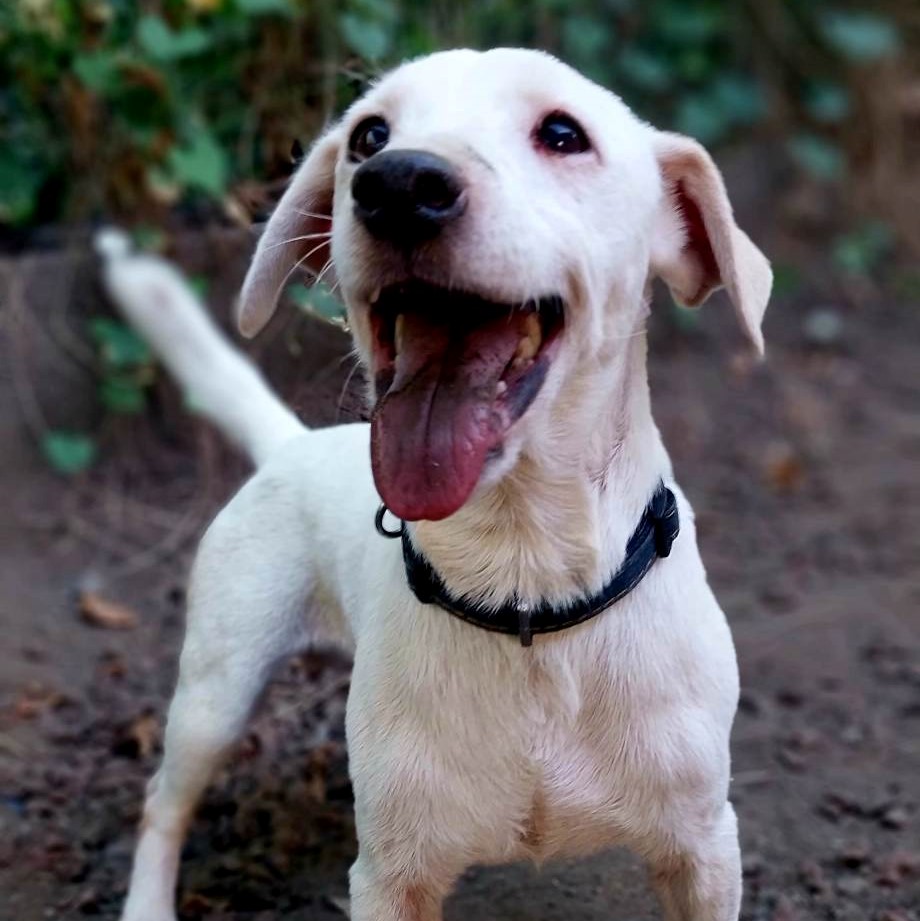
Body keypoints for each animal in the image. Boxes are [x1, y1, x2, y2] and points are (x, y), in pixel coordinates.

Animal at [100, 46, 772, 916]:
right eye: (368, 135)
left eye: (563, 133)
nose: (396, 184)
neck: (525, 583)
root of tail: (292, 443)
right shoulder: (390, 877)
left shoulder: (704, 849)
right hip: (217, 690)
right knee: (163, 802)